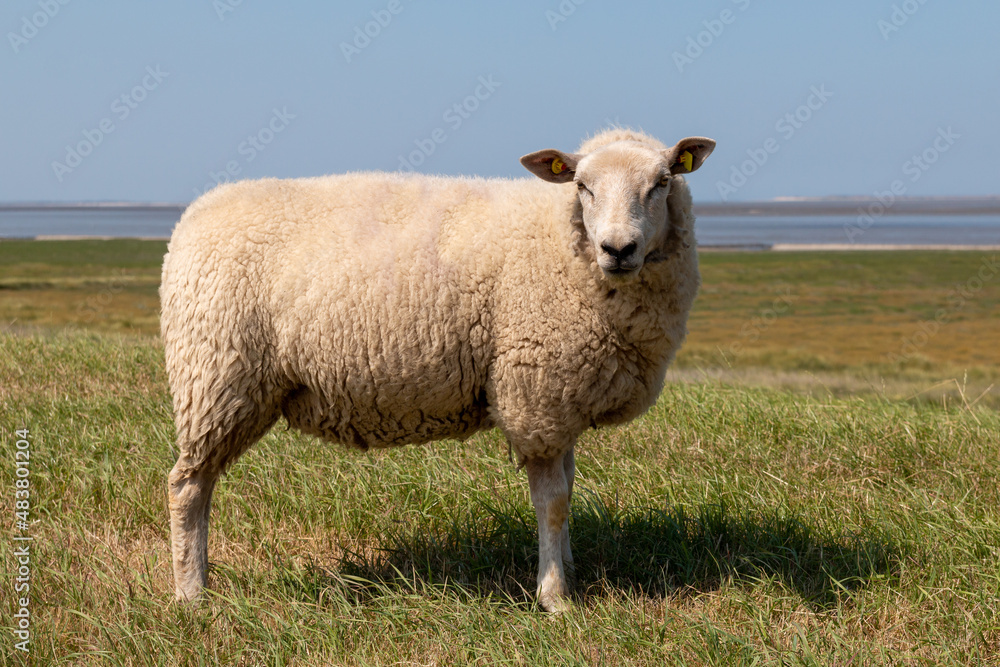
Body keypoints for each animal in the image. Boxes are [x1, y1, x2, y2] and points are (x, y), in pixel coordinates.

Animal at [160, 128, 716, 612]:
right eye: (582, 186)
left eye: (662, 182)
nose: (618, 249)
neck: (560, 240)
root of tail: (189, 218)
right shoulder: (534, 397)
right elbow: (553, 502)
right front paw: (555, 597)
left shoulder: (562, 401)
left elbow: (570, 489)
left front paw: (569, 570)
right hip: (216, 376)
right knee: (187, 487)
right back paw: (191, 594)